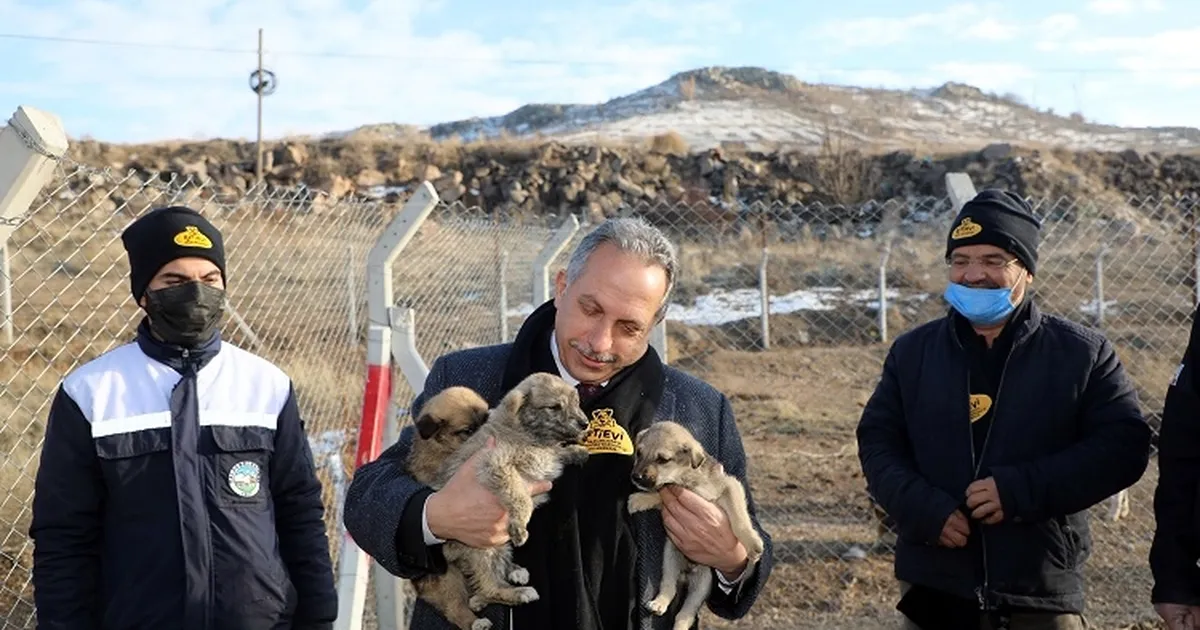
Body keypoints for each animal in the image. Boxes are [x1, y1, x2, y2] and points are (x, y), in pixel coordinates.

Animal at [403, 384, 492, 628]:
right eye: (467, 430)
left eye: (486, 419)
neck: (440, 446)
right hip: (449, 579)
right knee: (455, 608)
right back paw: (476, 622)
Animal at [436, 372, 595, 612]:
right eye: (554, 407)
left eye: (576, 402)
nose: (585, 423)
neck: (527, 433)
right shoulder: (498, 465)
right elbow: (521, 498)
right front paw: (520, 525)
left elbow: (558, 453)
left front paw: (577, 452)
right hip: (482, 548)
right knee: (489, 586)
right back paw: (518, 593)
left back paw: (508, 577)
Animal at [624, 420, 763, 628]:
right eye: (639, 453)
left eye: (662, 459)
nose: (636, 477)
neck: (687, 476)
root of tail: (686, 573)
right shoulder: (673, 490)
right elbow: (660, 493)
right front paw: (640, 499)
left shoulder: (730, 486)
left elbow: (739, 518)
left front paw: (752, 542)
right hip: (669, 560)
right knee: (669, 588)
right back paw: (658, 603)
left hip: (702, 586)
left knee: (684, 616)